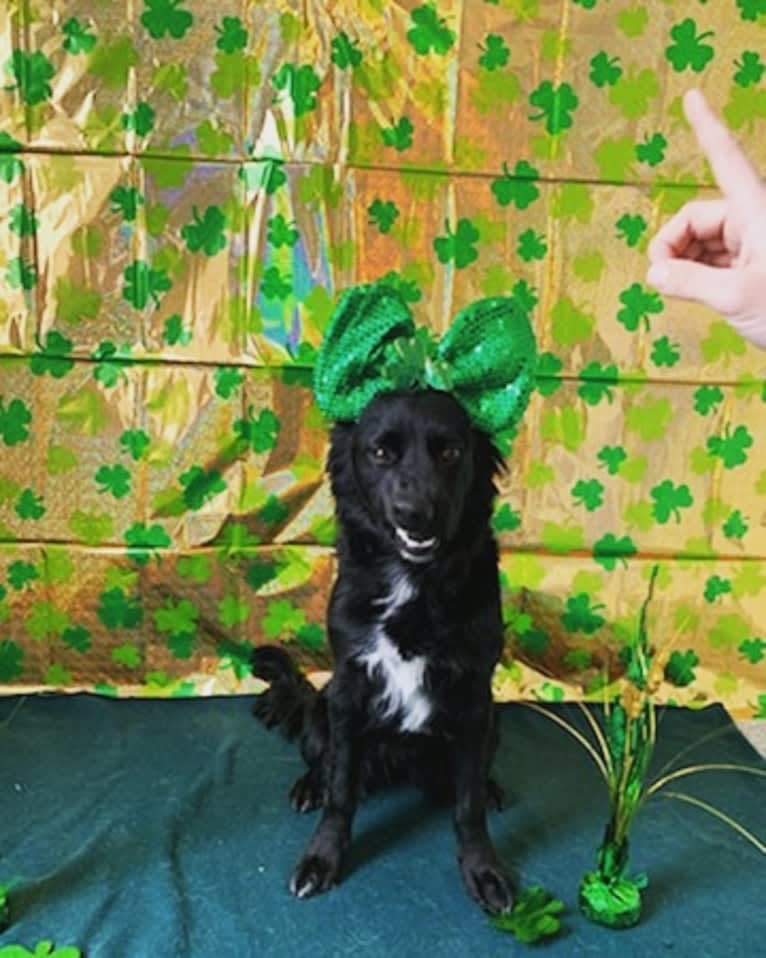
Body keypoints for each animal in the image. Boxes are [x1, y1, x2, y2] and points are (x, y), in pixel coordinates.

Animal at [254, 390, 516, 916]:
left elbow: (468, 804)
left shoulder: (475, 697)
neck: (415, 582)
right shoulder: (349, 687)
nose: (415, 511)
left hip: (494, 720)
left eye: (450, 452)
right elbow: (340, 791)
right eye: (380, 452)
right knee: (323, 761)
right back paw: (308, 786)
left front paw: (483, 869)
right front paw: (322, 858)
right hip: (320, 710)